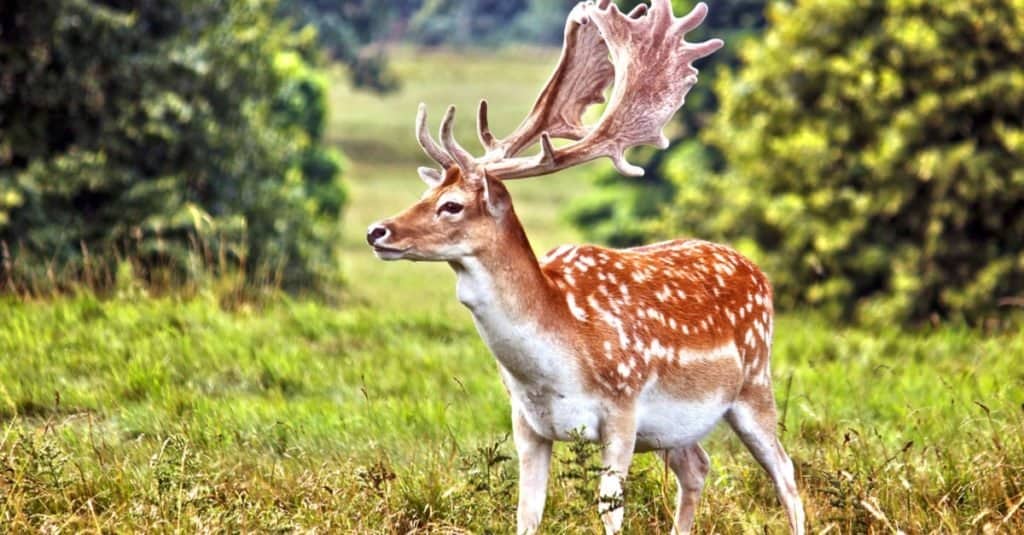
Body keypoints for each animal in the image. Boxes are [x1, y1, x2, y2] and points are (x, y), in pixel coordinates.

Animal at [368, 2, 806, 528]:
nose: (377, 231)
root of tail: (759, 273)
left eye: (451, 205)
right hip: (675, 428)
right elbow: (527, 515)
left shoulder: (623, 408)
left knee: (786, 473)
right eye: (425, 193)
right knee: (698, 466)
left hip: (754, 382)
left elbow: (610, 513)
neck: (556, 362)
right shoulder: (527, 423)